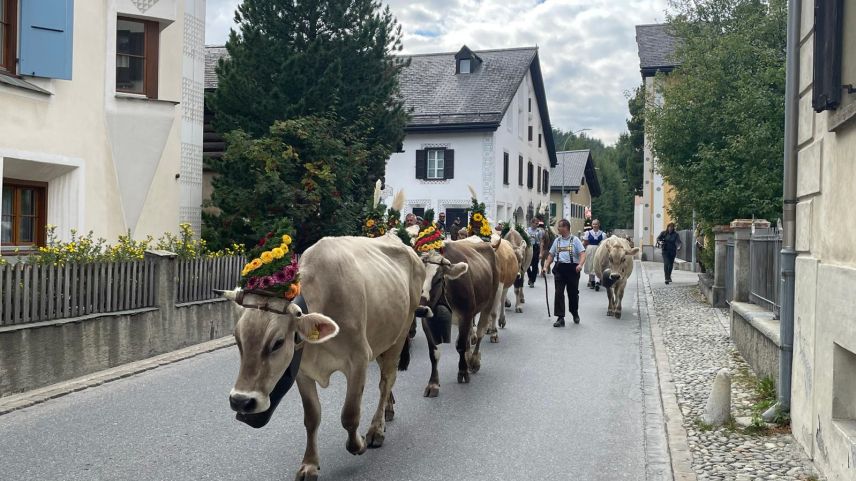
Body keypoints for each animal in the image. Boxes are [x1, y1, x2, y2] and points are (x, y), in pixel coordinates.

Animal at [224, 236, 424, 480]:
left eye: (278, 342)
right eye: (238, 339)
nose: (240, 401)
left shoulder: (358, 359)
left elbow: (349, 414)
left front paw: (357, 444)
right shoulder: (302, 370)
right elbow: (312, 417)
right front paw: (309, 464)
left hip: (401, 332)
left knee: (386, 380)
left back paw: (377, 429)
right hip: (381, 337)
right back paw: (388, 409)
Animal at [416, 238, 498, 396]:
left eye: (438, 279)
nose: (419, 310)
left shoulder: (465, 315)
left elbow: (460, 345)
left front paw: (463, 372)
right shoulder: (426, 319)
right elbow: (434, 353)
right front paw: (433, 384)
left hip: (489, 301)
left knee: (479, 333)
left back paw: (473, 360)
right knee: (469, 337)